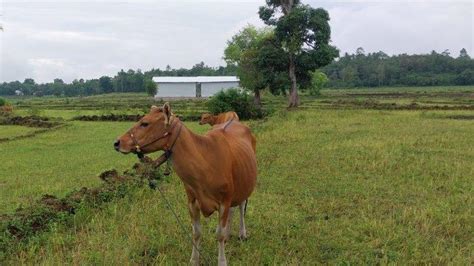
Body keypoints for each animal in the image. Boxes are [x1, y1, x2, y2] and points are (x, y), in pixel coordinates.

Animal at [115, 103, 258, 264]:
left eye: (145, 123)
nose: (117, 142)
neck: (205, 164)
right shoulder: (192, 202)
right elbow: (196, 233)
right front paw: (194, 260)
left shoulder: (224, 200)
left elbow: (219, 234)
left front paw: (222, 261)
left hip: (244, 184)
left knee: (241, 205)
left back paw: (242, 233)